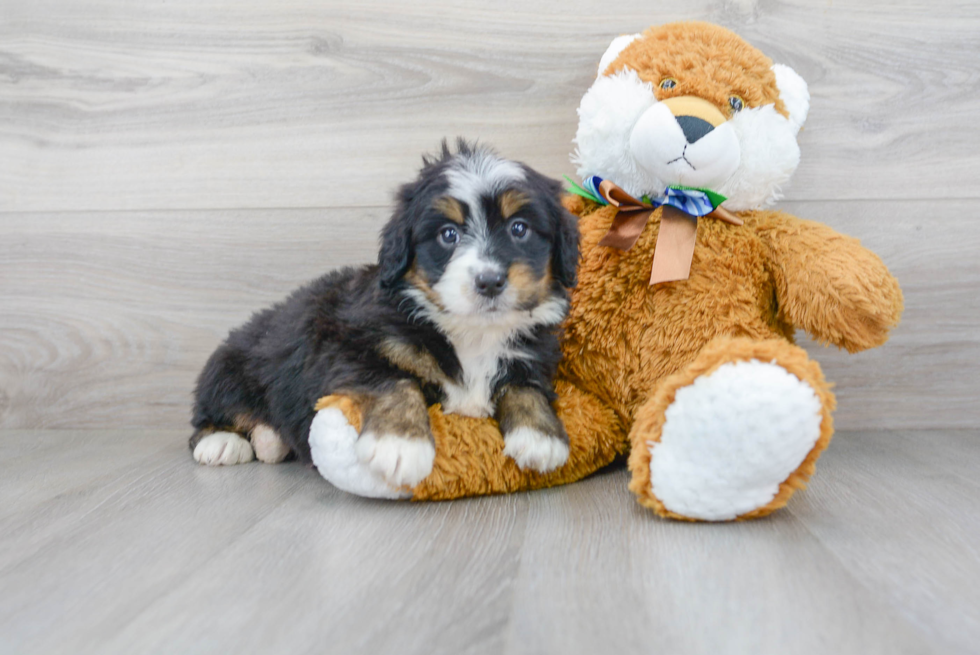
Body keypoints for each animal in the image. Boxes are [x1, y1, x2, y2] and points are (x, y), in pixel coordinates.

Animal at [188, 141, 580, 490]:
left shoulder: (532, 357)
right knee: (210, 415)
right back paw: (223, 442)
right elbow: (394, 382)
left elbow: (526, 387)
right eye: (448, 235)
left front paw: (540, 436)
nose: (489, 281)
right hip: (227, 368)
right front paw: (400, 444)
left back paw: (270, 440)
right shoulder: (349, 348)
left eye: (519, 228)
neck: (471, 333)